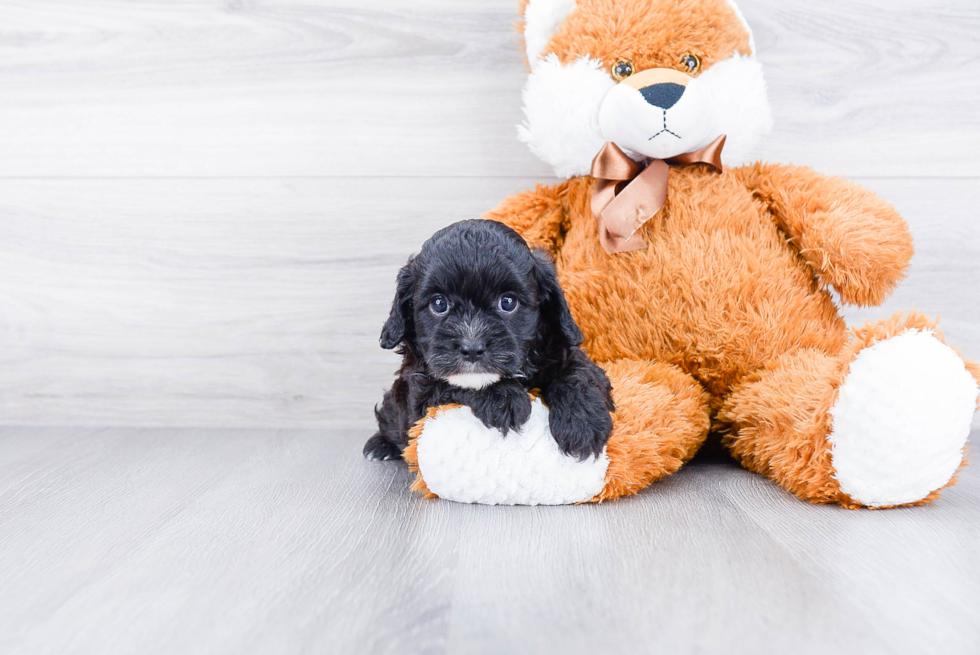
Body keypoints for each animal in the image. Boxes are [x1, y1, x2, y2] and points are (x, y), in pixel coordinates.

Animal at [366, 219, 612, 462]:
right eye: (439, 304)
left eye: (508, 302)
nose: (472, 349)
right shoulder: (419, 396)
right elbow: (449, 384)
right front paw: (503, 397)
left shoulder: (561, 348)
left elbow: (577, 372)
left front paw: (582, 422)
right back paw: (380, 446)